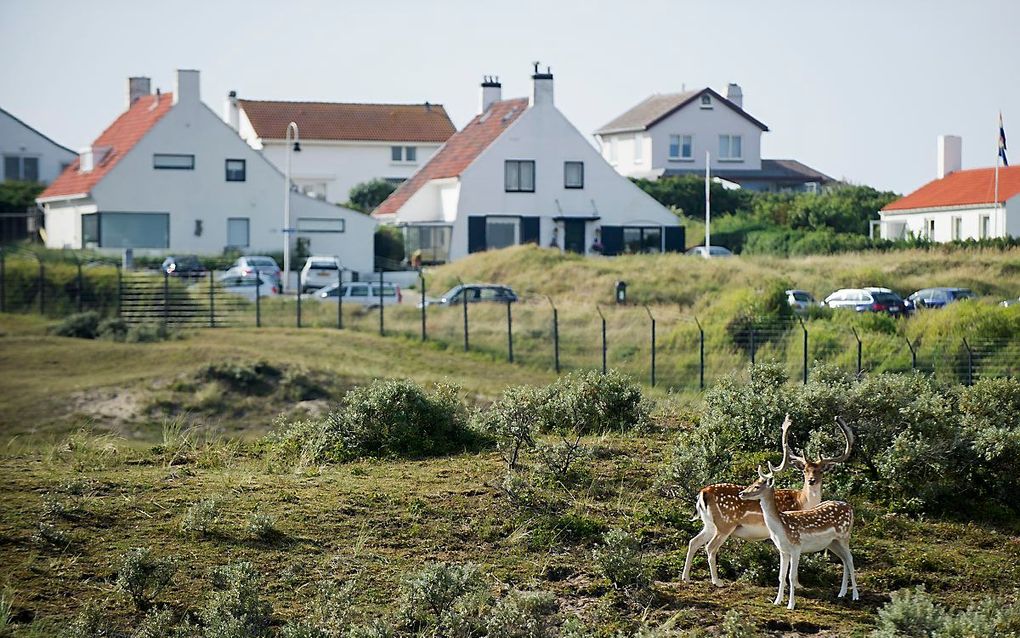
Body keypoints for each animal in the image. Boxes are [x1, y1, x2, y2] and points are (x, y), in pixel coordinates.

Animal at [681, 412, 856, 587]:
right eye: (805, 470)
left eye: (820, 470)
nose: (812, 480)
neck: (803, 502)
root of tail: (703, 493)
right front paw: (796, 584)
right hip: (725, 524)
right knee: (710, 547)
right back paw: (717, 581)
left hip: (709, 524)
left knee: (693, 541)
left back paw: (686, 577)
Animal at [738, 457, 856, 608]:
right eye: (753, 482)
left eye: (758, 486)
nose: (742, 493)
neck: (781, 528)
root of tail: (850, 507)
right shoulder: (783, 550)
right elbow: (781, 575)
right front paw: (777, 601)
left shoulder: (796, 547)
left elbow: (791, 576)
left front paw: (791, 605)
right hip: (832, 543)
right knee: (844, 560)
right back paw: (841, 593)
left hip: (844, 536)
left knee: (850, 560)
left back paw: (855, 596)